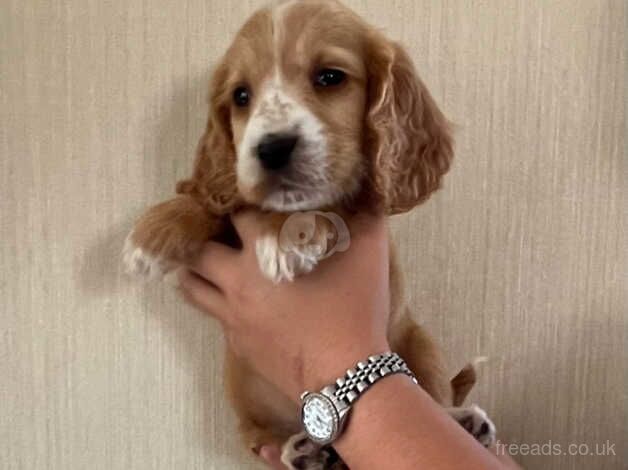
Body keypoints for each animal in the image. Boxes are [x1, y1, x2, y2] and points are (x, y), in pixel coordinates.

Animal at [124, 1, 496, 468]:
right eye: (241, 96)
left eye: (330, 77)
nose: (271, 148)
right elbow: (213, 198)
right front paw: (152, 235)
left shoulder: (362, 195)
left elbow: (332, 201)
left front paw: (286, 238)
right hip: (246, 405)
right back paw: (307, 451)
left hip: (421, 343)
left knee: (434, 391)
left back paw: (463, 421)